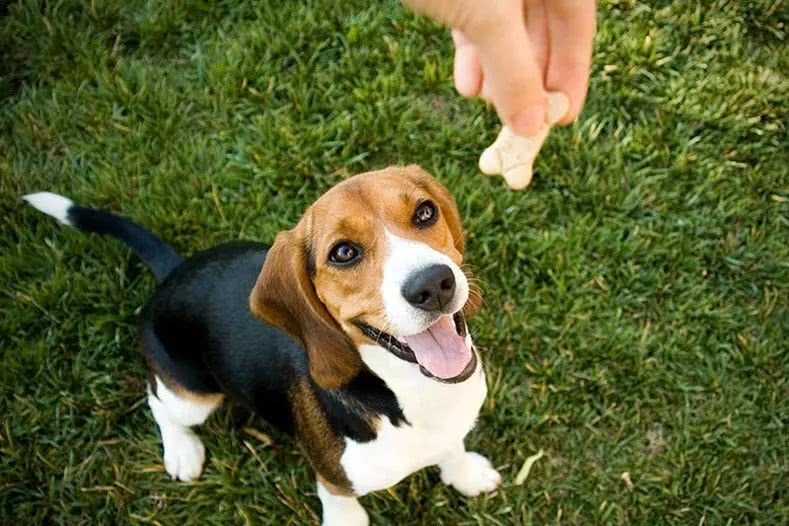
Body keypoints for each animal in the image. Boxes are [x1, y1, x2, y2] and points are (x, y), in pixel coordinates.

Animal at [27, 166, 502, 526]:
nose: (433, 285)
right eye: (343, 253)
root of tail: (174, 272)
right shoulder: (334, 482)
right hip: (192, 396)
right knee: (158, 402)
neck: (409, 391)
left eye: (425, 212)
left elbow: (453, 447)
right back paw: (181, 450)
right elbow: (343, 506)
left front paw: (464, 473)